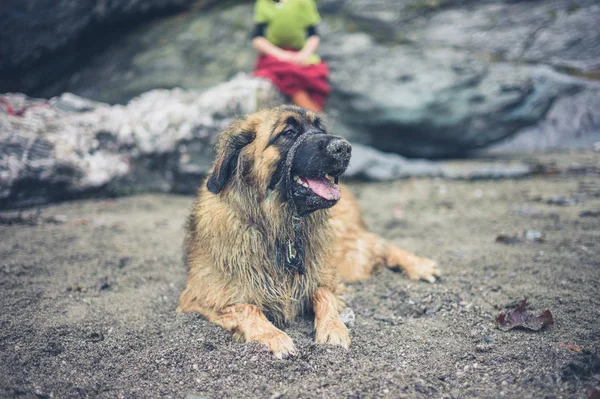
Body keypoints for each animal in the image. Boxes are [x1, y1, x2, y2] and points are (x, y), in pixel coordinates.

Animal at [176, 105, 438, 360]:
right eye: (289, 132)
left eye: (319, 128)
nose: (344, 148)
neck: (278, 228)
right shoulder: (199, 297)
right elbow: (247, 307)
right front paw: (273, 336)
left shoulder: (323, 275)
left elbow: (323, 293)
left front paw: (333, 327)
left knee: (376, 244)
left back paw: (420, 265)